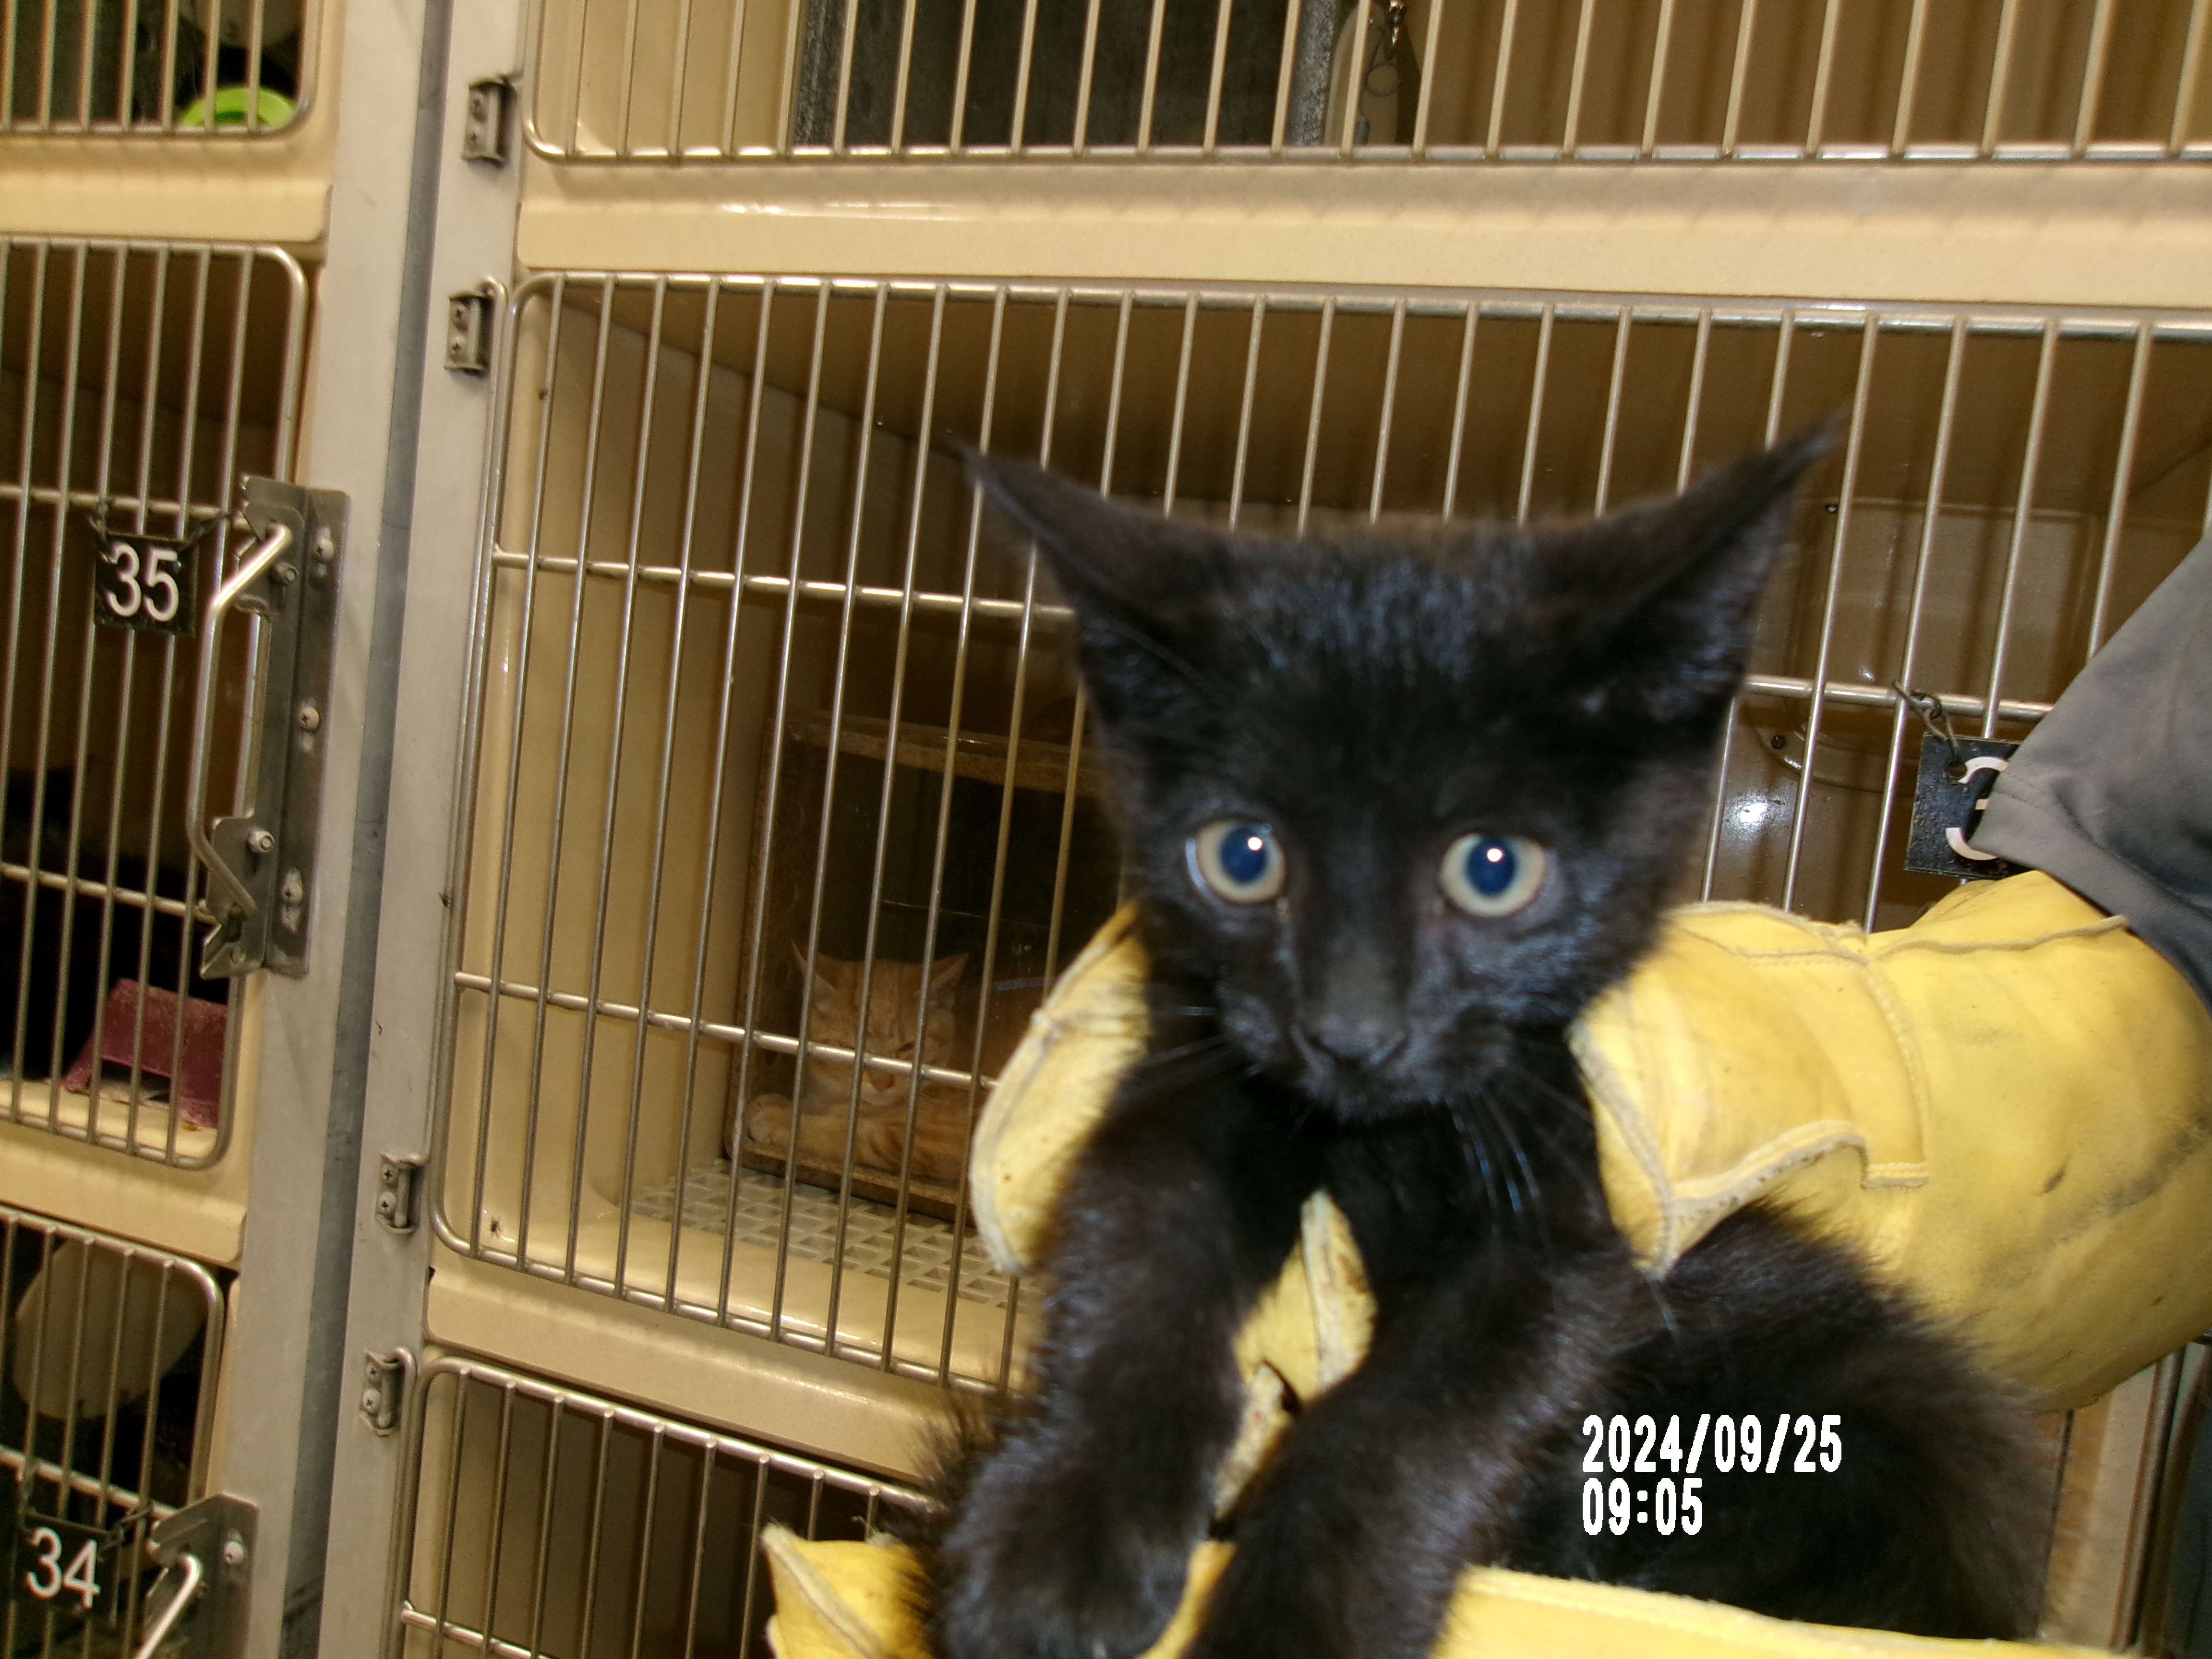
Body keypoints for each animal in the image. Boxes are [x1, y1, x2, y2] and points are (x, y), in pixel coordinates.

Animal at [911, 442, 2035, 1659]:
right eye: (1242, 856)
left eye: (1493, 869)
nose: (1350, 1032)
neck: (1383, 1135)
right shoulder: (1198, 1079)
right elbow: (1135, 1267)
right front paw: (1052, 1546)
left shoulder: (1564, 1226)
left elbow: (1411, 1419)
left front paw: (1304, 1618)